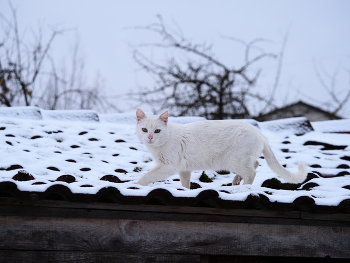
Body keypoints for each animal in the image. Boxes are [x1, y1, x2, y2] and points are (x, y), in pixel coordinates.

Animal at [135, 109, 308, 190]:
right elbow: (185, 183)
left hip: (236, 160)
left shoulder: (168, 166)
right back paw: (236, 180)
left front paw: (136, 183)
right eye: (144, 130)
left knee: (252, 172)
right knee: (255, 164)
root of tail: (258, 132)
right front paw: (185, 190)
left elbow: (147, 176)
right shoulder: (184, 169)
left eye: (157, 131)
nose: (149, 137)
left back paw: (242, 186)